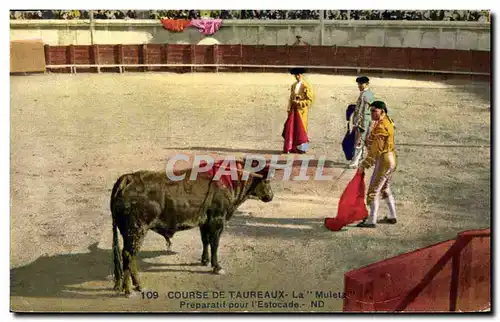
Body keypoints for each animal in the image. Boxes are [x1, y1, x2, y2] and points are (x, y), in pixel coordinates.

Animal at [110, 164, 274, 296]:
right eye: (267, 181)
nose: (271, 196)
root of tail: (128, 178)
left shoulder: (204, 222)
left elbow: (205, 240)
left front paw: (204, 260)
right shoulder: (217, 220)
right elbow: (215, 244)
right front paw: (217, 267)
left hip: (128, 232)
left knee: (128, 256)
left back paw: (134, 286)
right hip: (137, 229)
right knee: (129, 255)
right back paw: (131, 288)